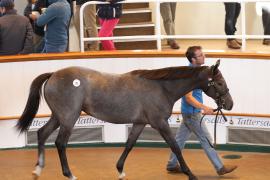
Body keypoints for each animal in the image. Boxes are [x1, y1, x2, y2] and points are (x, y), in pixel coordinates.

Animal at [16, 59, 232, 179]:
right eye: (220, 83)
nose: (230, 104)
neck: (161, 88)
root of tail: (53, 75)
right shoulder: (160, 123)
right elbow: (175, 147)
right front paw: (191, 174)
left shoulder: (139, 123)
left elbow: (129, 144)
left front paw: (120, 170)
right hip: (69, 118)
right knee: (60, 143)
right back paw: (69, 174)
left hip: (58, 117)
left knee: (42, 134)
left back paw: (38, 170)